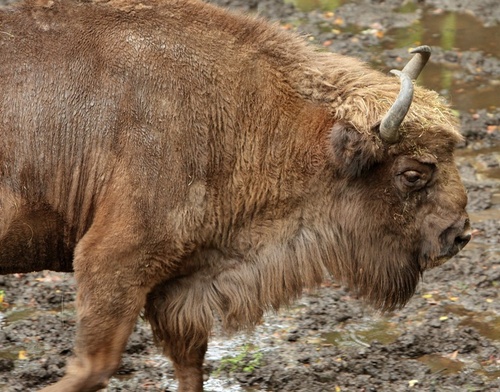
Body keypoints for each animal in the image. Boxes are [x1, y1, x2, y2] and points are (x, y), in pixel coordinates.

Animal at [0, 0, 468, 390]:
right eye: (412, 174)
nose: (458, 234)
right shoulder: (112, 262)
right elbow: (94, 367)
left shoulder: (179, 287)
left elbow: (190, 365)